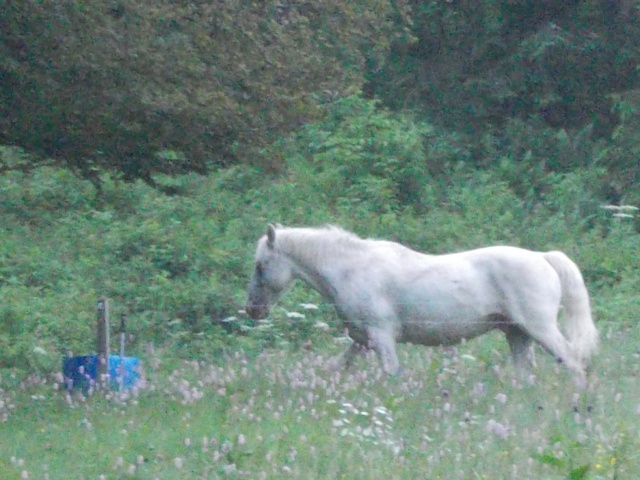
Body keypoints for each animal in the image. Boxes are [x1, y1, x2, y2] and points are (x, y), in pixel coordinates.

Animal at [245, 224, 600, 386]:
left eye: (260, 266)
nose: (252, 310)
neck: (352, 269)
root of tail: (542, 257)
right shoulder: (361, 340)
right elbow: (337, 367)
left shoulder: (381, 336)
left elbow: (391, 373)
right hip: (517, 334)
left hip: (540, 330)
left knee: (572, 361)